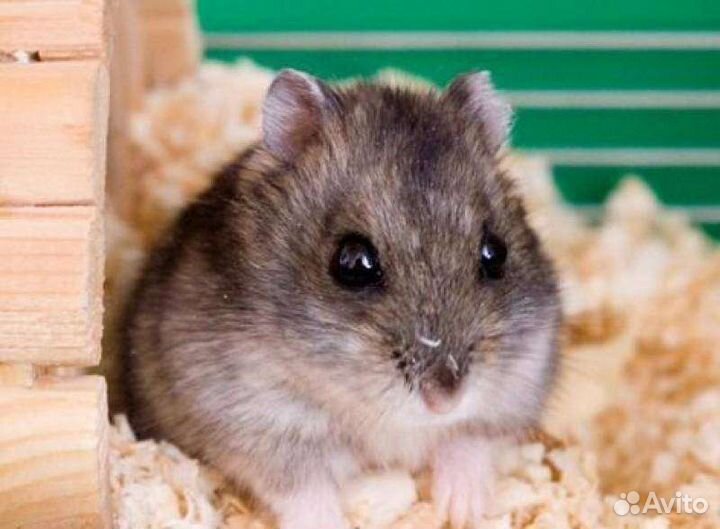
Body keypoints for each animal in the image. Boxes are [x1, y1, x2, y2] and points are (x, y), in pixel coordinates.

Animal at [122, 69, 561, 529]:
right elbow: (302, 488)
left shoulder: (519, 383)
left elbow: (472, 439)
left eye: (496, 253)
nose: (445, 401)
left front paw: (461, 510)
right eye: (352, 262)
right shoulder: (256, 421)